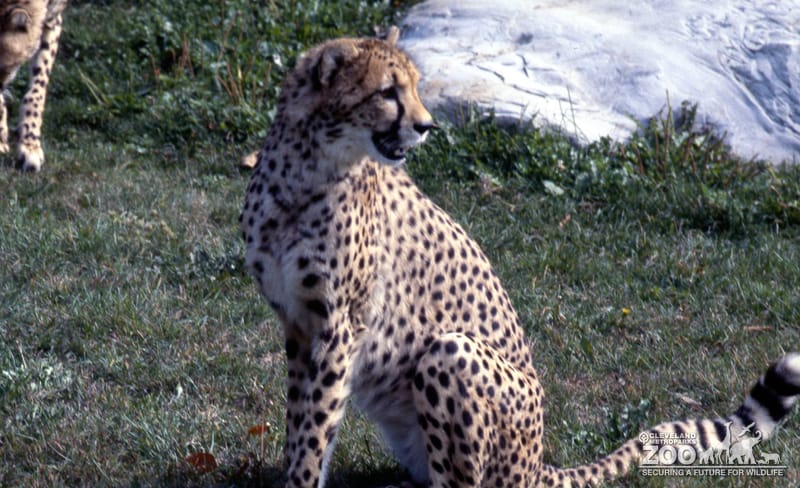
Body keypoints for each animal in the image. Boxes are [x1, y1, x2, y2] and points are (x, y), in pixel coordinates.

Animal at [240, 27, 800, 487]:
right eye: (386, 92)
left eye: (416, 87)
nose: (427, 126)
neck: (306, 170)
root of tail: (538, 464)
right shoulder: (299, 322)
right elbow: (300, 422)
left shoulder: (340, 325)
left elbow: (316, 428)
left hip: (450, 353)